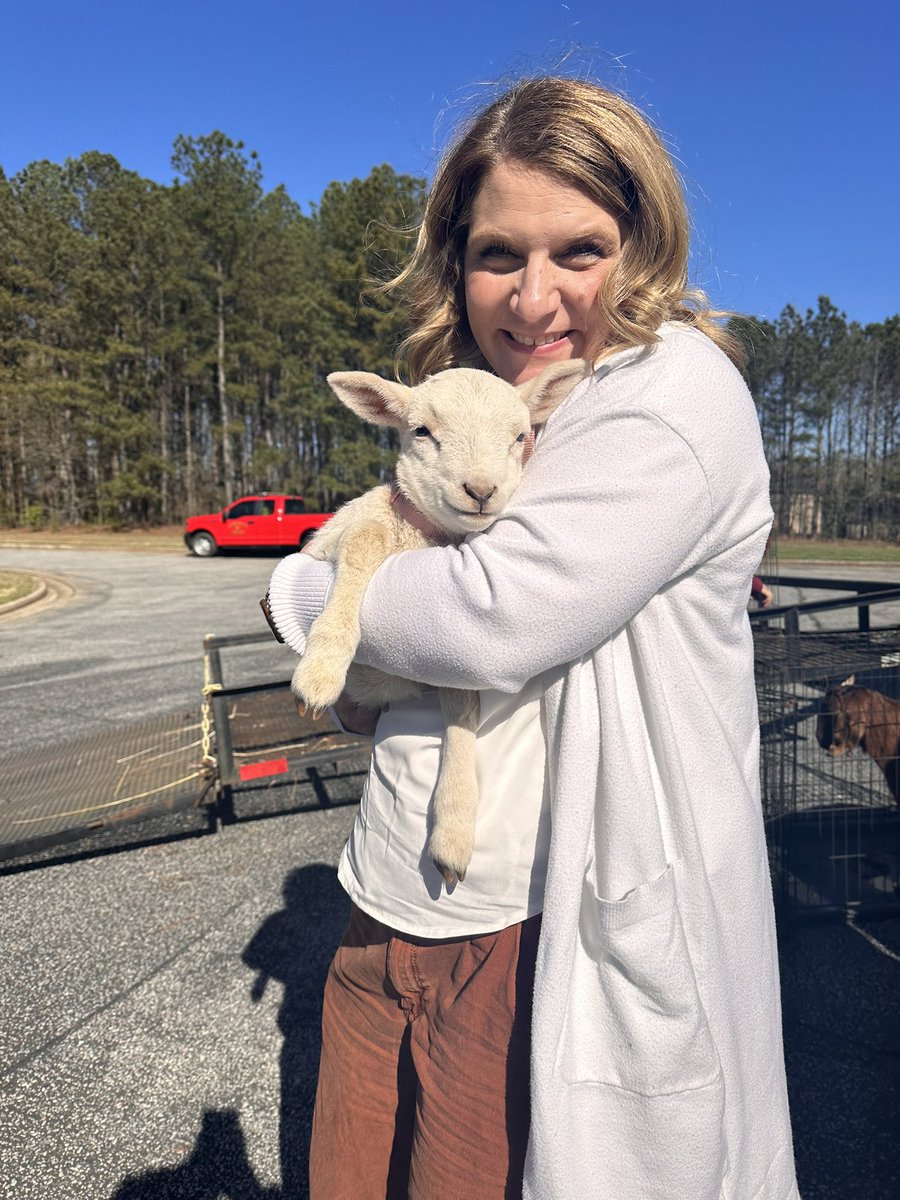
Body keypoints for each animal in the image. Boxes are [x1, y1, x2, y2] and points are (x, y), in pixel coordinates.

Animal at [290, 355, 592, 883]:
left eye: (519, 436)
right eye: (422, 431)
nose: (481, 490)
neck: (422, 537)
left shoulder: (448, 659)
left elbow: (464, 714)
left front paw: (452, 835)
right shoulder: (344, 532)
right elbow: (364, 542)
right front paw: (321, 672)